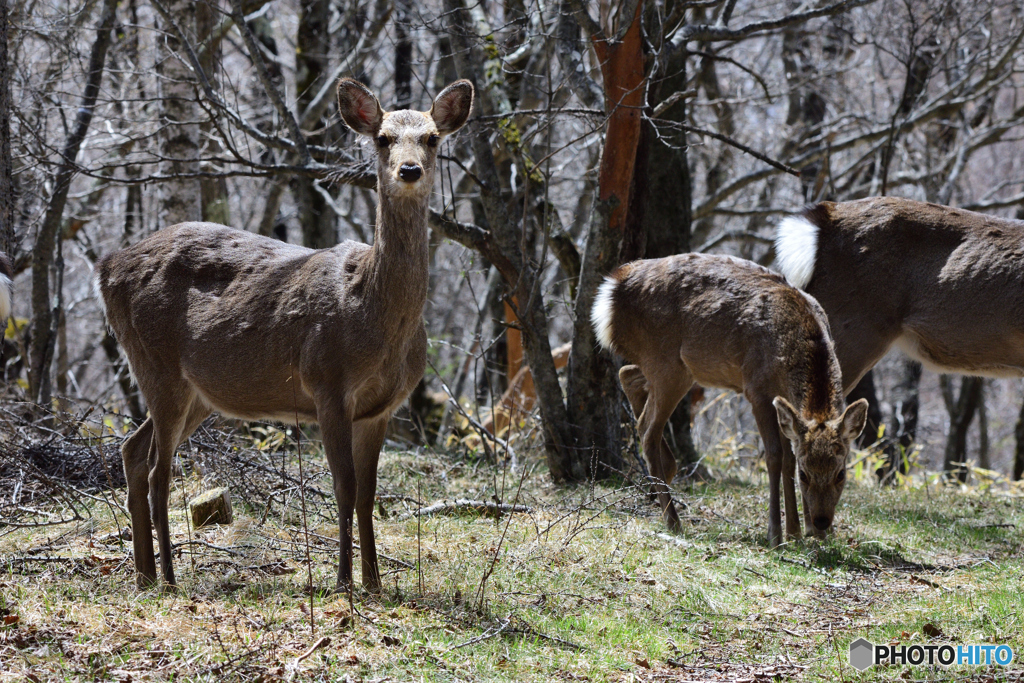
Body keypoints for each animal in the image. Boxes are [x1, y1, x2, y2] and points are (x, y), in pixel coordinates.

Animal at [97, 78, 473, 593]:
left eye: (433, 137)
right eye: (383, 139)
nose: (409, 170)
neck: (374, 316)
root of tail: (107, 267)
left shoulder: (380, 408)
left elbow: (369, 493)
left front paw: (374, 583)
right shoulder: (326, 381)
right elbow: (344, 486)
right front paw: (344, 581)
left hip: (197, 392)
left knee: (132, 450)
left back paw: (144, 575)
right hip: (155, 361)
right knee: (158, 470)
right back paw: (170, 578)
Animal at [589, 253, 868, 548]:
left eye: (841, 474)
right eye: (805, 475)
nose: (822, 521)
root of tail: (611, 289)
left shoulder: (782, 403)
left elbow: (789, 458)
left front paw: (793, 533)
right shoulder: (756, 388)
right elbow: (775, 457)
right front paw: (775, 534)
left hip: (676, 368)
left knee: (627, 375)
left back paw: (665, 475)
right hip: (666, 362)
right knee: (646, 427)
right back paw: (673, 519)